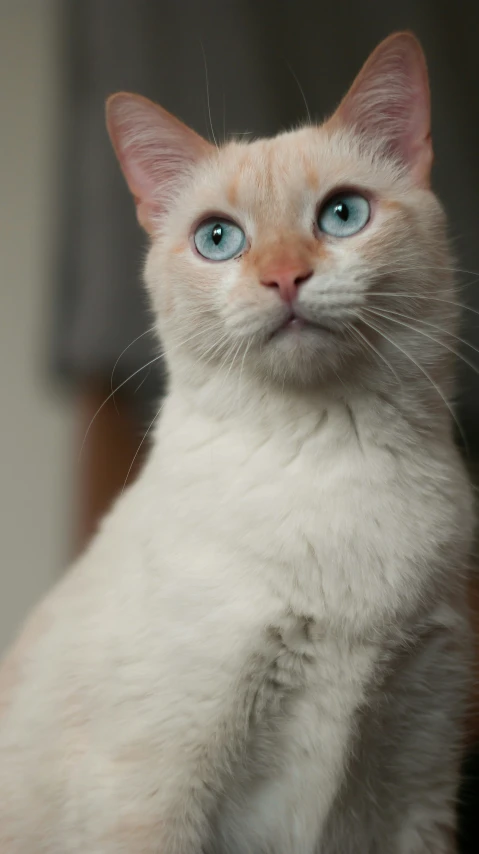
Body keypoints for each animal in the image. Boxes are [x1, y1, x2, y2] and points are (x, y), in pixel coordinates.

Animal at [0, 30, 474, 852]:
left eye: (342, 215)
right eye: (219, 239)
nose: (284, 277)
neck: (329, 461)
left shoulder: (417, 784)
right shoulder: (152, 796)